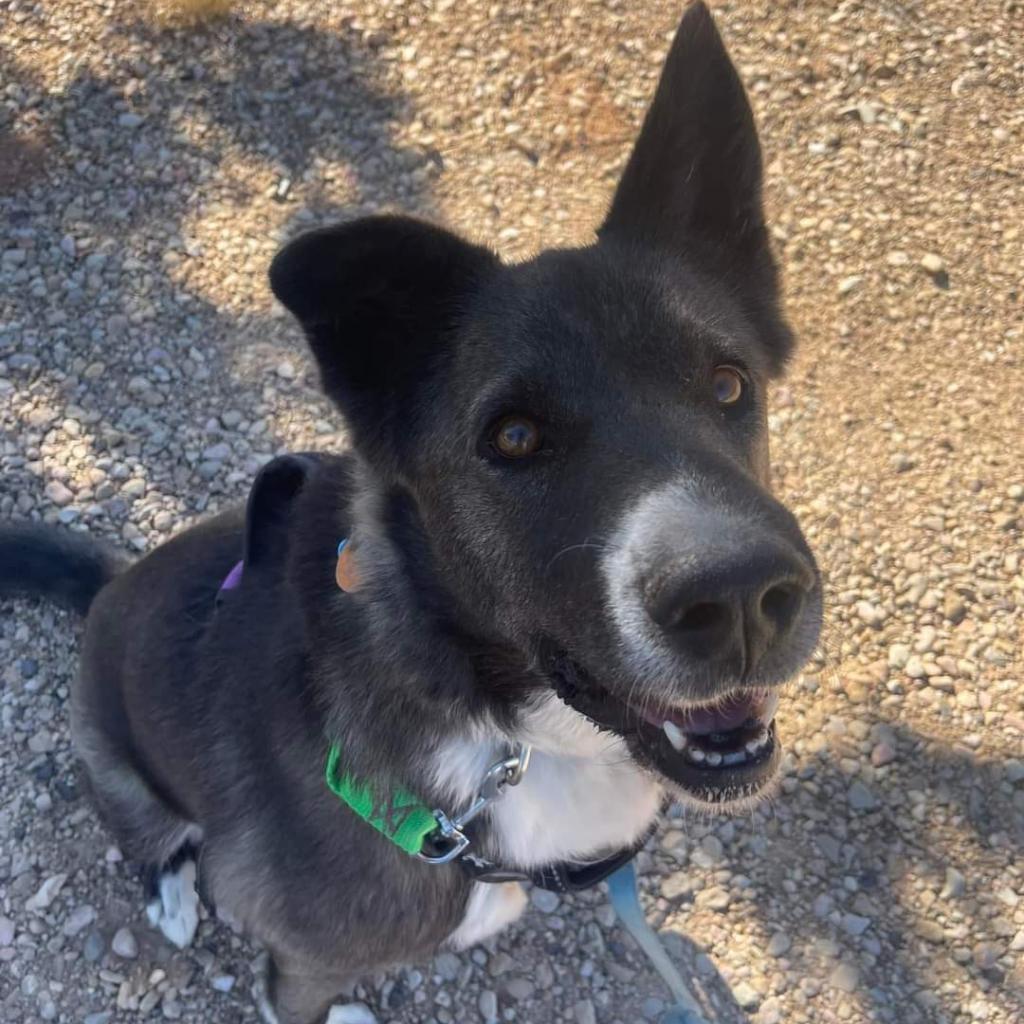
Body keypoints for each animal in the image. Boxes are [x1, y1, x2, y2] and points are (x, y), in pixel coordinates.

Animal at [0, 8, 819, 1024]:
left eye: (728, 382)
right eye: (513, 437)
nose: (743, 597)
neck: (502, 732)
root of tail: (111, 584)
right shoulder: (303, 956)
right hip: (117, 766)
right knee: (151, 839)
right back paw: (174, 895)